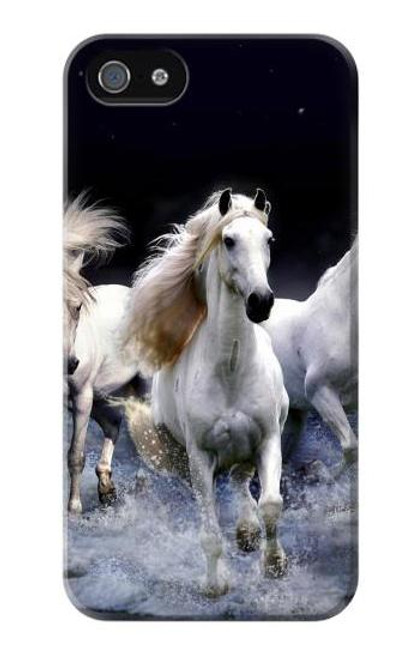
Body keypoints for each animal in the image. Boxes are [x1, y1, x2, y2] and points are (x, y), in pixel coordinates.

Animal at [122, 189, 289, 597]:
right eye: (228, 240)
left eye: (269, 239)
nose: (260, 301)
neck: (230, 369)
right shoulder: (200, 457)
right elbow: (210, 531)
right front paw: (216, 584)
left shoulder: (268, 439)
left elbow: (271, 504)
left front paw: (274, 565)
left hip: (247, 448)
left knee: (242, 481)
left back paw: (247, 533)